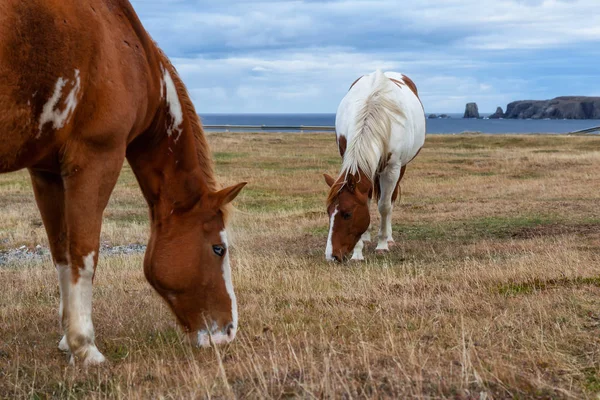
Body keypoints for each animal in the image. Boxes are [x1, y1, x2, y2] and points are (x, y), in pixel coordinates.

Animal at [0, 0, 246, 364]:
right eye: (219, 248)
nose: (228, 332)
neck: (131, 52)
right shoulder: (97, 157)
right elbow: (84, 253)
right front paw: (84, 346)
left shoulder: (45, 174)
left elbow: (61, 253)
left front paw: (66, 340)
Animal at [324, 69, 426, 262]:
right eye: (328, 212)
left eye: (347, 214)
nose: (332, 256)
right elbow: (367, 202)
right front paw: (358, 252)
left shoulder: (392, 169)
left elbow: (384, 206)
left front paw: (382, 245)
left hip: (400, 168)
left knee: (390, 200)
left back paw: (389, 238)